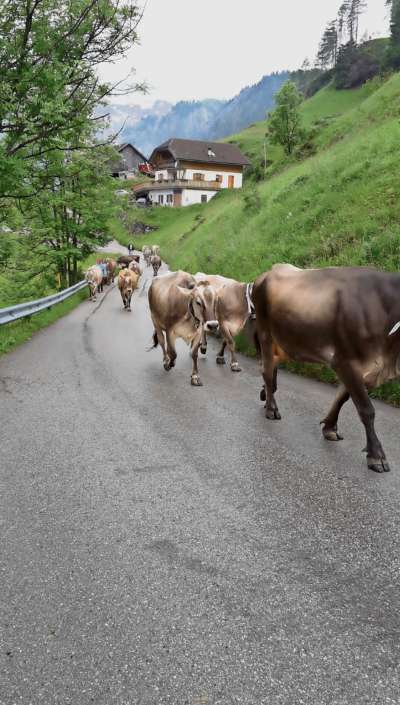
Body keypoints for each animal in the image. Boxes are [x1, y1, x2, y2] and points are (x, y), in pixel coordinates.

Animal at [253, 264, 400, 472]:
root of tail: (268, 272)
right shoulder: (345, 360)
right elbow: (366, 409)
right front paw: (376, 455)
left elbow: (341, 398)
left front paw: (329, 428)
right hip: (266, 334)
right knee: (266, 371)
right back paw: (271, 409)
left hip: (283, 341)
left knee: (272, 368)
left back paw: (266, 397)